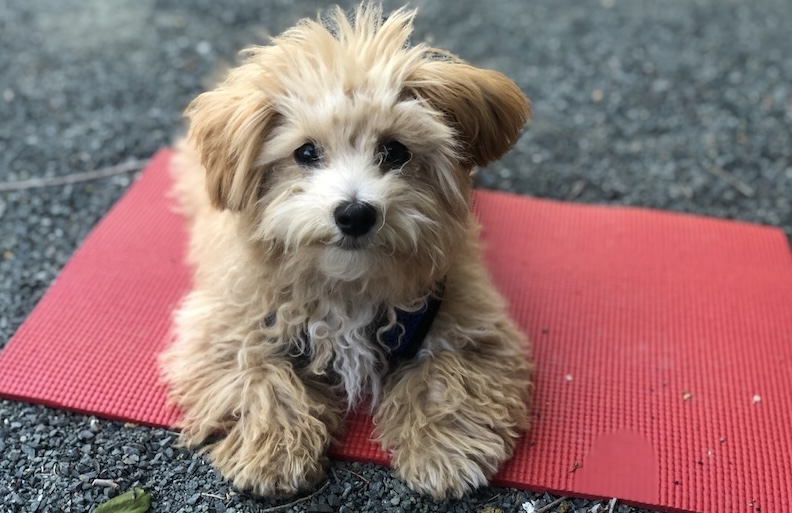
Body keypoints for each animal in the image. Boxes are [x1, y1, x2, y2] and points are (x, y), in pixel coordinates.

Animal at [159, 4, 532, 498]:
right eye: (306, 152)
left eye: (395, 151)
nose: (355, 214)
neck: (347, 284)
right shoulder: (224, 325)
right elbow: (258, 376)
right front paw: (275, 449)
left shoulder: (468, 315)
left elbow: (447, 374)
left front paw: (445, 447)